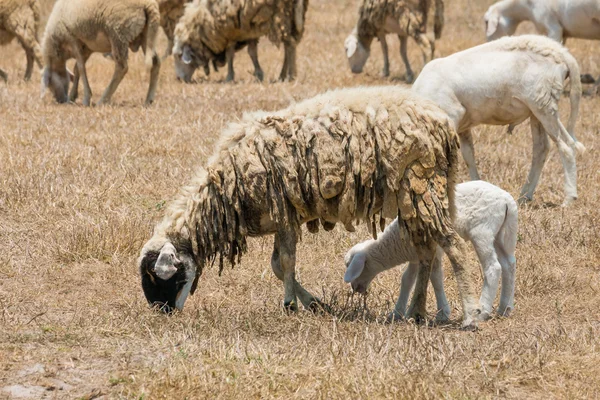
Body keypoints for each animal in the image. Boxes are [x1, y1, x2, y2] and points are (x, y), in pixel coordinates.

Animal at [136, 84, 482, 328]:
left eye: (157, 277)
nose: (162, 313)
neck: (224, 187)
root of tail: (444, 125)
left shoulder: (285, 213)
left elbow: (287, 263)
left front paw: (290, 305)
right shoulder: (282, 218)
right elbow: (277, 266)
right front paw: (315, 304)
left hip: (424, 187)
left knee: (453, 247)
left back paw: (468, 316)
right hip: (417, 198)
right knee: (426, 253)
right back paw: (417, 312)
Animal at [344, 180, 516, 322]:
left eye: (353, 266)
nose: (355, 289)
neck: (397, 243)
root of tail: (507, 201)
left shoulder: (433, 251)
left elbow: (436, 278)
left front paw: (442, 314)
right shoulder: (415, 256)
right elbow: (407, 279)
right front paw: (397, 313)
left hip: (482, 232)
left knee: (493, 267)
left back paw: (483, 311)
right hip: (503, 234)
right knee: (509, 265)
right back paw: (505, 309)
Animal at [412, 34, 584, 206]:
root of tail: (561, 53)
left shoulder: (452, 115)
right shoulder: (463, 127)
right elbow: (469, 157)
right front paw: (476, 185)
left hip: (543, 104)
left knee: (566, 147)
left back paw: (569, 199)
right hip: (539, 108)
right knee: (542, 148)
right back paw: (525, 196)